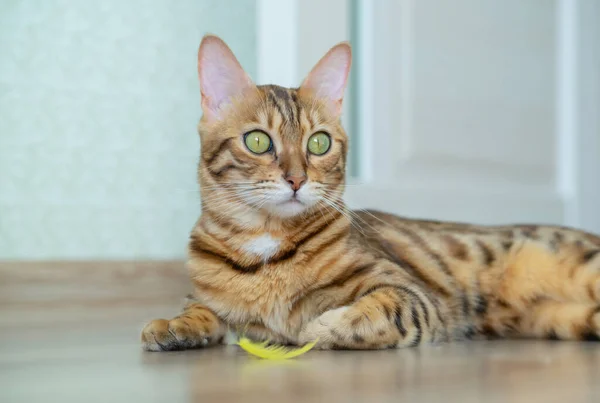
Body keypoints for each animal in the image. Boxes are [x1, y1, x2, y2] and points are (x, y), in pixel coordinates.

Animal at [142, 35, 600, 350]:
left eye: (318, 143)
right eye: (258, 141)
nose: (296, 179)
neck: (264, 247)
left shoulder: (411, 294)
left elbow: (377, 311)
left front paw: (318, 327)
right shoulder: (206, 297)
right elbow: (198, 308)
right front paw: (174, 326)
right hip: (560, 319)